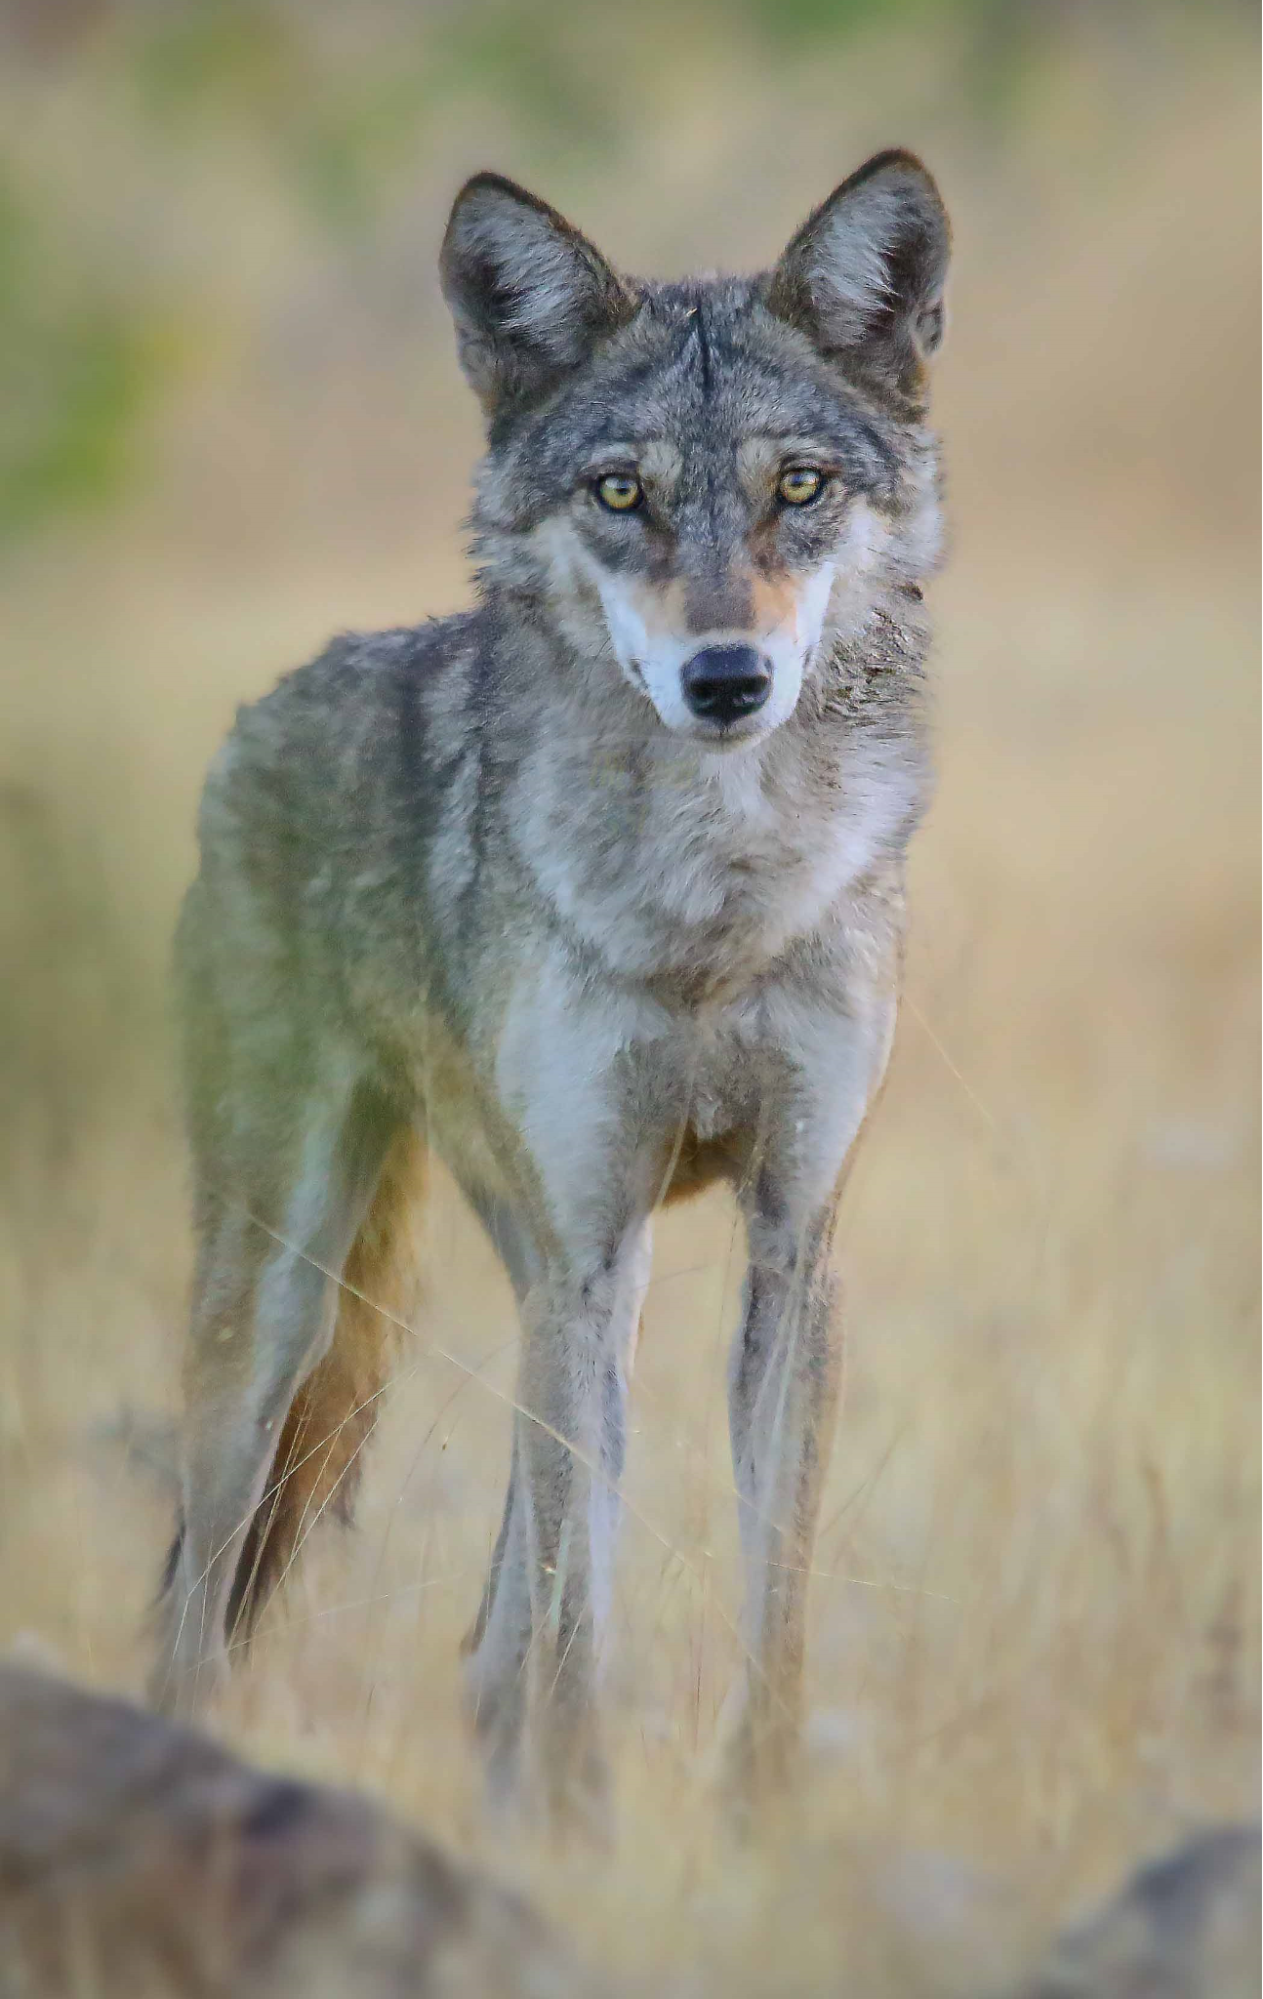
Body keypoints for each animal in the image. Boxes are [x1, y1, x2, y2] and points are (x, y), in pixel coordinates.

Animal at [150, 151, 951, 1822]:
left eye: (797, 487)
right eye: (618, 493)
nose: (725, 678)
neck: (714, 897)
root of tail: (263, 706)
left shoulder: (789, 1238)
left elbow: (763, 1584)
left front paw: (751, 1813)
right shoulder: (589, 1235)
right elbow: (588, 1593)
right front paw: (585, 1819)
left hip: (575, 1273)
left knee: (488, 1614)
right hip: (291, 1292)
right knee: (201, 1580)